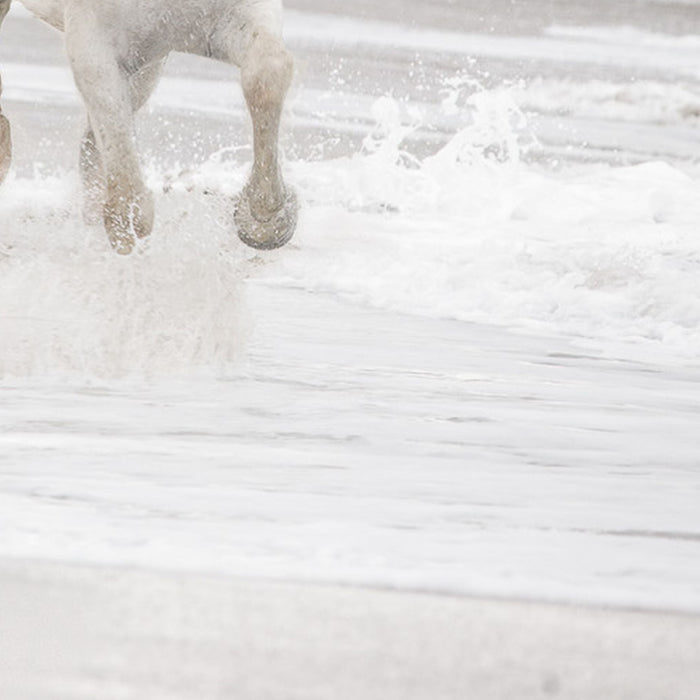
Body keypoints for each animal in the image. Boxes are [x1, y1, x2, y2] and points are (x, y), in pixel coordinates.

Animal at [0, 0, 298, 253]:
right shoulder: (93, 43)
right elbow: (126, 183)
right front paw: (123, 227)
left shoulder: (237, 17)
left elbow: (267, 75)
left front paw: (267, 219)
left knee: (91, 143)